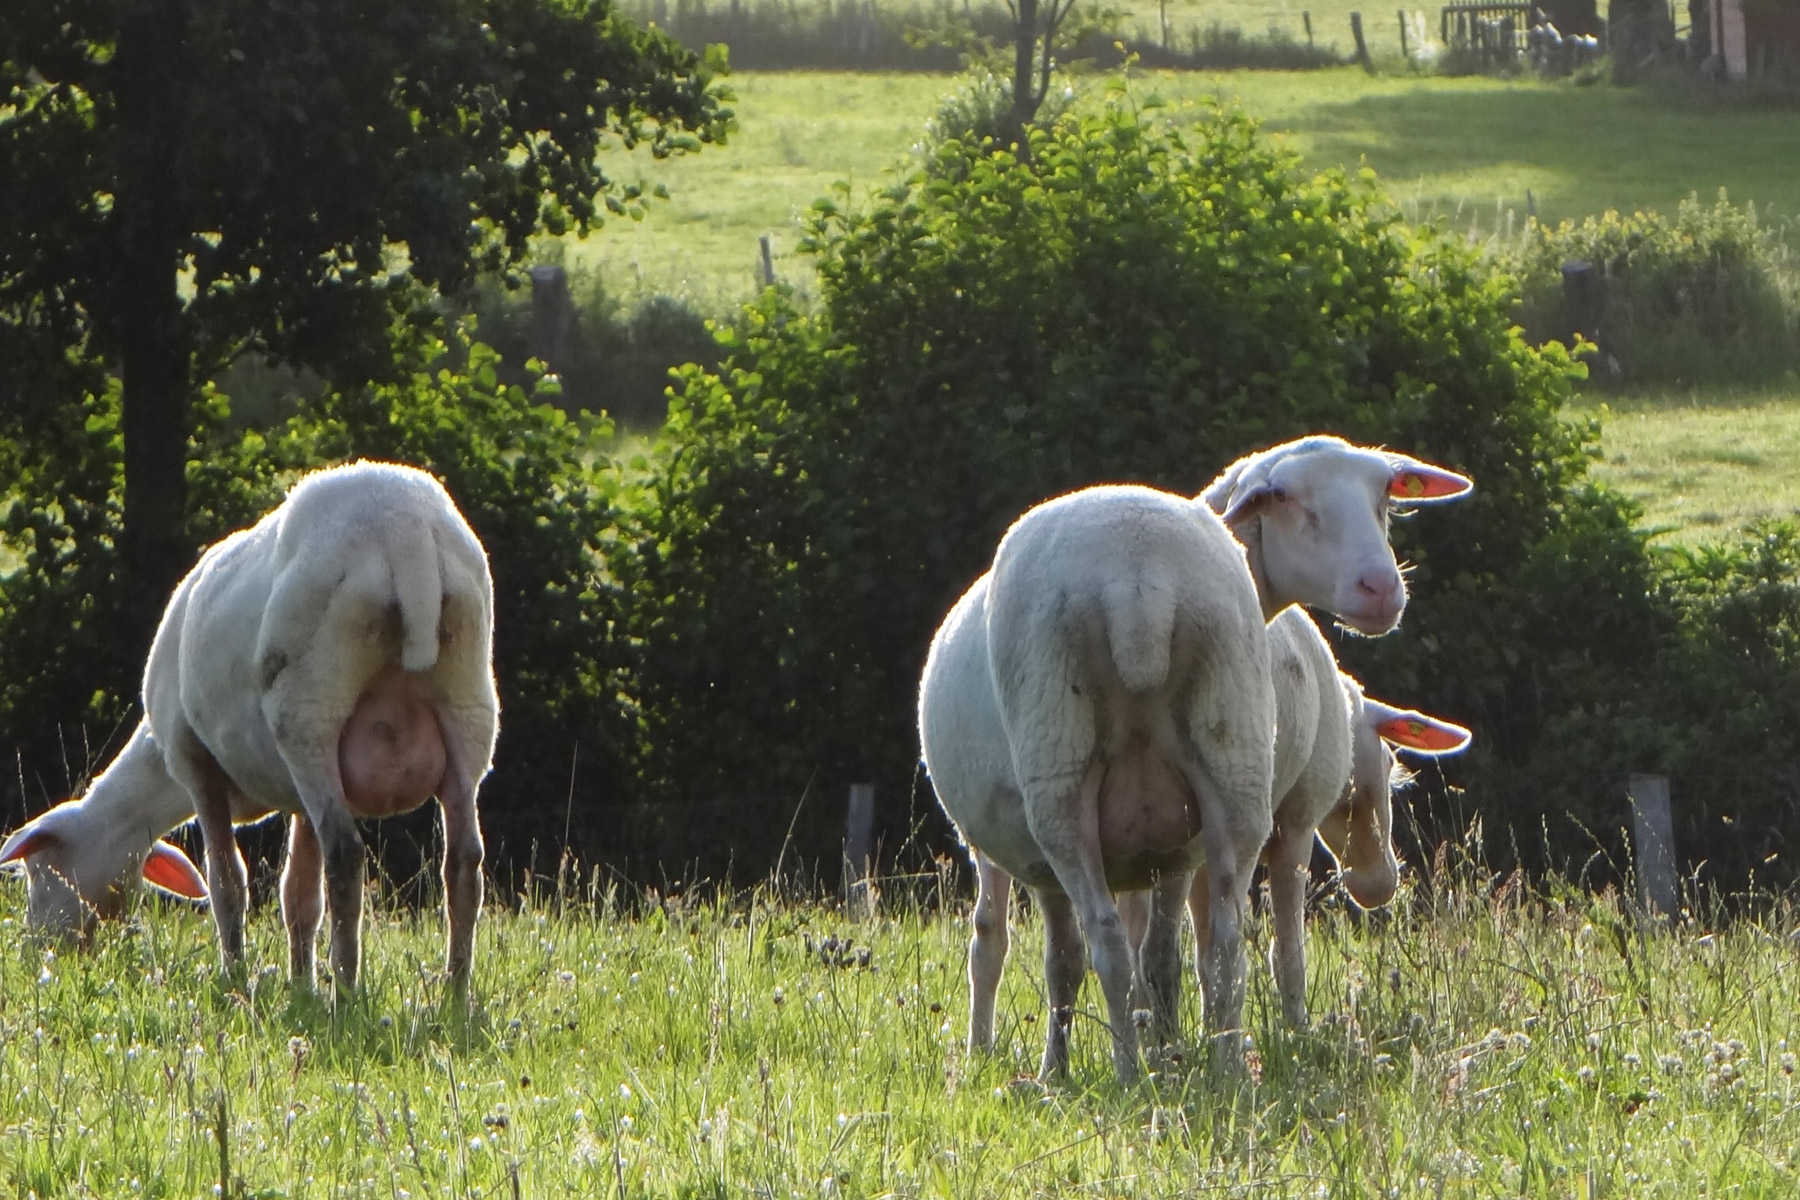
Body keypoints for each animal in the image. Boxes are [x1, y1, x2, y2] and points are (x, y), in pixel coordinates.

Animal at [0, 461, 498, 996]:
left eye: (38, 870)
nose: (41, 953)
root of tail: (407, 537)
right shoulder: (298, 798)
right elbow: (298, 896)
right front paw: (302, 986)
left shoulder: (195, 764)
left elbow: (227, 880)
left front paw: (236, 976)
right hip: (468, 701)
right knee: (464, 859)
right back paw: (455, 990)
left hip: (309, 709)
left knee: (345, 854)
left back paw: (347, 990)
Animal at [919, 435, 1470, 1081]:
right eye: (1283, 496)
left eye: (1385, 493)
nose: (1380, 587)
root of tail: (1138, 583)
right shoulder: (1175, 842)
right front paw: (1161, 1048)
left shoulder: (1152, 845)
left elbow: (1122, 956)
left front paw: (1136, 1053)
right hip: (1181, 772)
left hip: (1080, 781)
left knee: (1106, 943)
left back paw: (1146, 1072)